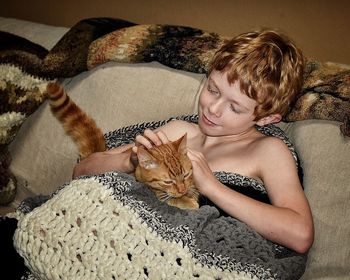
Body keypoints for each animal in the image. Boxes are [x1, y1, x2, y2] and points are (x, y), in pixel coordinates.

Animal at [46, 82, 200, 209]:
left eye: (186, 175)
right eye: (168, 182)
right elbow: (168, 198)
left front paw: (191, 192)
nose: (182, 190)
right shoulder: (155, 192)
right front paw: (187, 201)